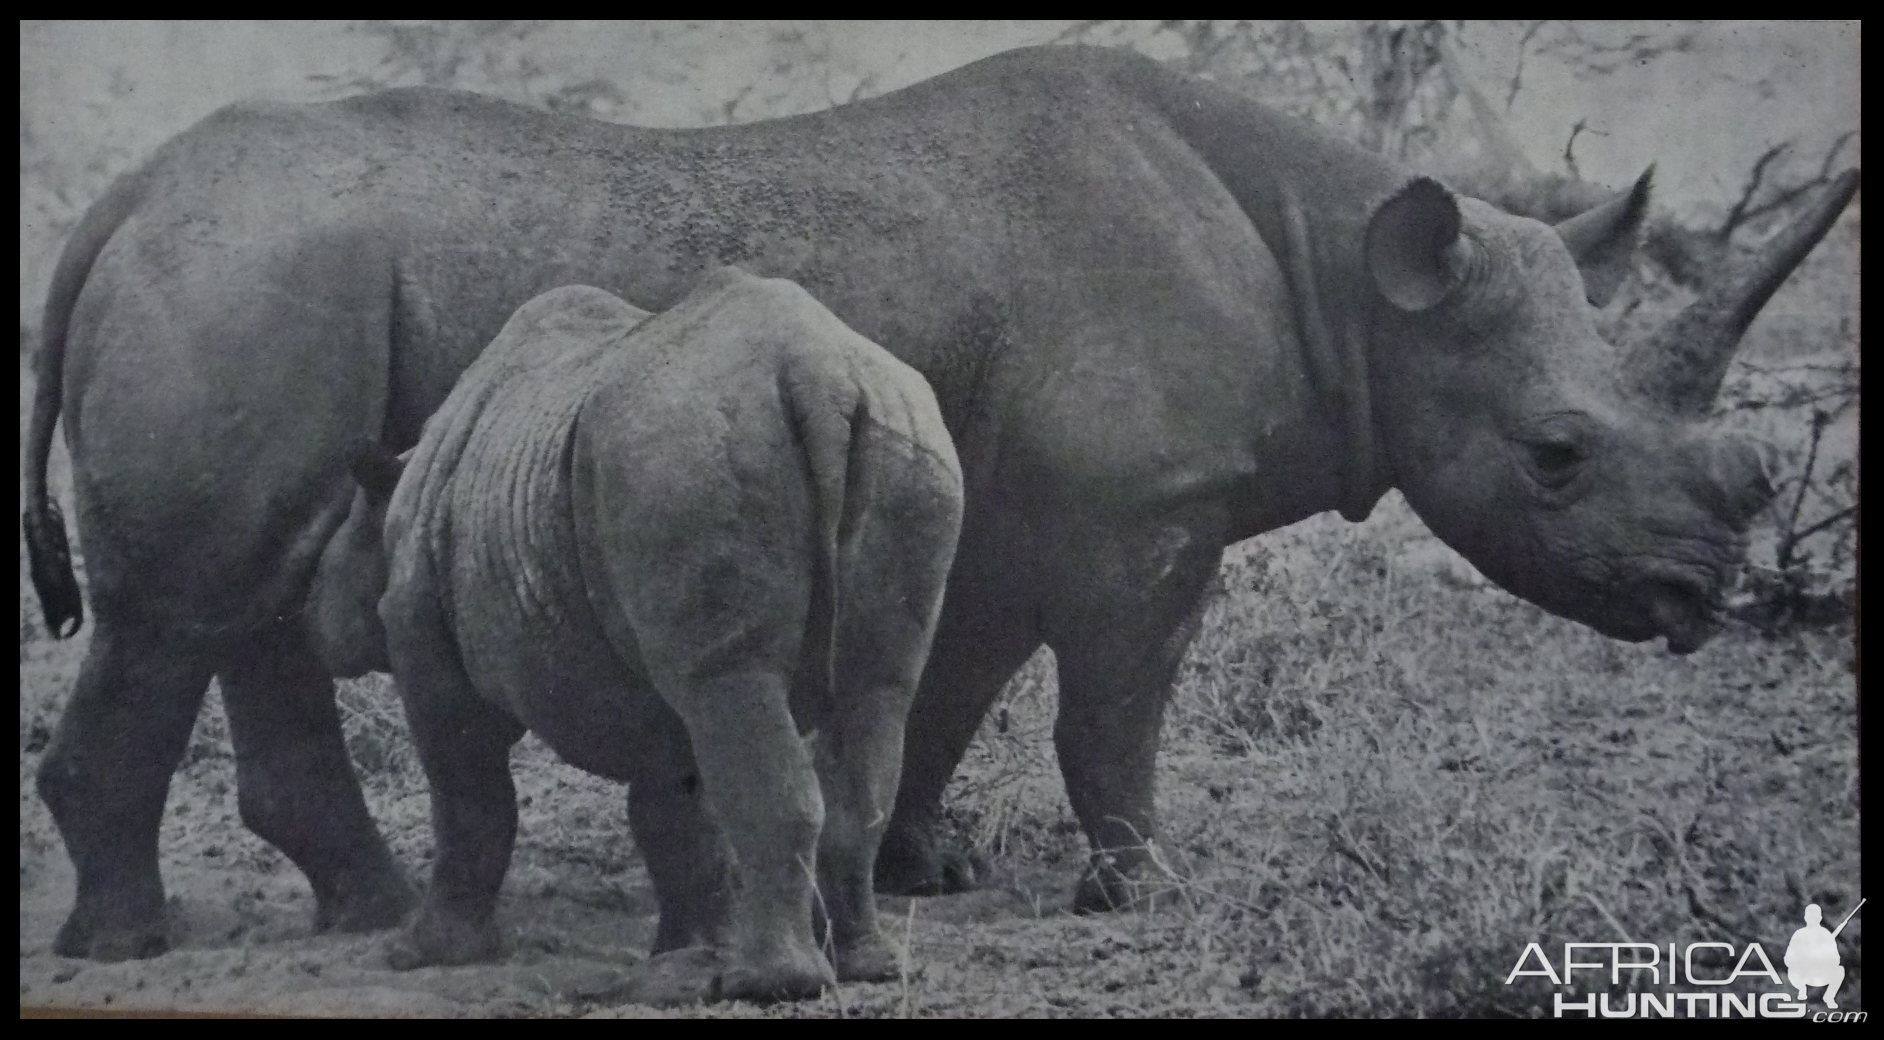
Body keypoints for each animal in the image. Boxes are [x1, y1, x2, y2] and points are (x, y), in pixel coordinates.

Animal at [359, 271, 964, 1002]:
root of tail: (822, 377)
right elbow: (674, 810)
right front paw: (685, 954)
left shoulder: (421, 633)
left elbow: (465, 791)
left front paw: (419, 954)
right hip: (905, 442)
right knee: (874, 692)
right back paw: (865, 967)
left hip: (691, 456)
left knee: (733, 685)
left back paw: (770, 984)